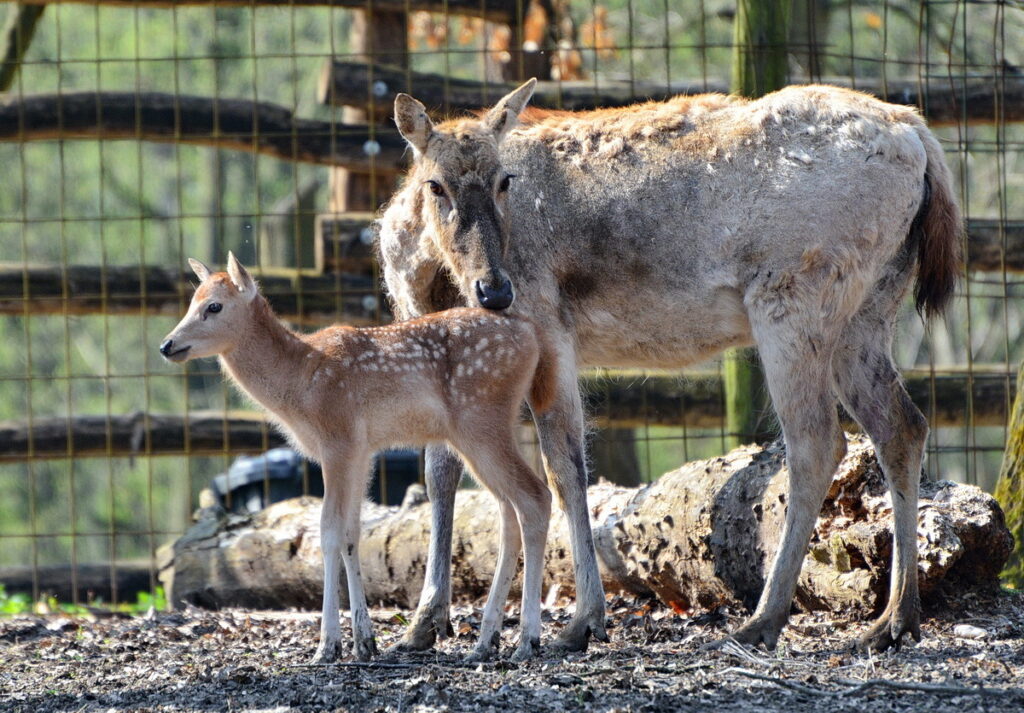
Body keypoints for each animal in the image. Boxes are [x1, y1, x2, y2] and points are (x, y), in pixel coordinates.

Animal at [160, 255, 561, 663]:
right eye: (192, 301)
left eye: (214, 306)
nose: (167, 344)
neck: (298, 382)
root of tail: (532, 337)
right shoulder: (362, 450)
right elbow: (353, 533)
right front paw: (364, 641)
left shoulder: (338, 441)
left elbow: (328, 531)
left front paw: (328, 645)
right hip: (484, 429)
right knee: (510, 511)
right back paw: (485, 641)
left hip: (479, 421)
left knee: (535, 497)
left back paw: (527, 640)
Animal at [380, 79, 962, 651]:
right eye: (436, 185)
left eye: (505, 181)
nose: (496, 289)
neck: (426, 278)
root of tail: (920, 138)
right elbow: (440, 468)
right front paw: (424, 621)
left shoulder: (546, 321)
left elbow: (564, 468)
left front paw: (584, 620)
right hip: (868, 310)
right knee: (902, 425)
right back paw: (893, 620)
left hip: (794, 295)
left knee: (817, 441)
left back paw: (763, 619)